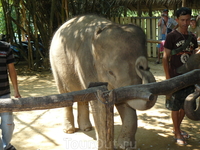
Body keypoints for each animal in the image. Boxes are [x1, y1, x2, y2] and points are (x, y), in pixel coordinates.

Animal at [49, 14, 157, 149]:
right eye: (110, 72)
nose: (142, 65)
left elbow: (124, 101)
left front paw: (125, 145)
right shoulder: (86, 64)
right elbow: (97, 101)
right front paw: (104, 146)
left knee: (82, 96)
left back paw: (86, 128)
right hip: (56, 67)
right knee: (65, 93)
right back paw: (69, 130)